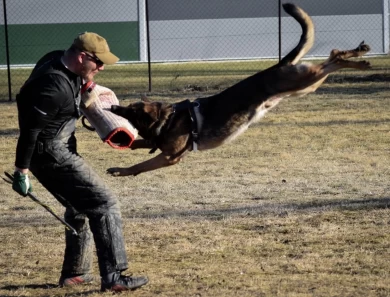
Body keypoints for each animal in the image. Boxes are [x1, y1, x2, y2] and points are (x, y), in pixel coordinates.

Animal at [106, 2, 372, 176]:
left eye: (130, 111)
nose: (112, 107)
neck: (168, 120)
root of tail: (279, 65)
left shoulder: (171, 157)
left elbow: (140, 165)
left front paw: (121, 170)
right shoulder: (159, 145)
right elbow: (138, 143)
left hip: (302, 81)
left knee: (334, 56)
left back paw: (360, 58)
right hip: (306, 85)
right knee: (332, 58)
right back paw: (359, 55)